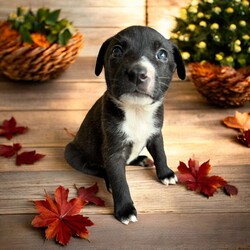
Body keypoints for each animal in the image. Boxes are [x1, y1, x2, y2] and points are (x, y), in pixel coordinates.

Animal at [64, 25, 186, 225]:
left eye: (162, 54)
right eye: (116, 51)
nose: (138, 73)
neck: (136, 110)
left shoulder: (155, 133)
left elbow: (161, 153)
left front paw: (165, 173)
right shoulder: (114, 152)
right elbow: (120, 181)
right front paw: (125, 209)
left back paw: (140, 159)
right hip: (74, 155)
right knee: (101, 170)